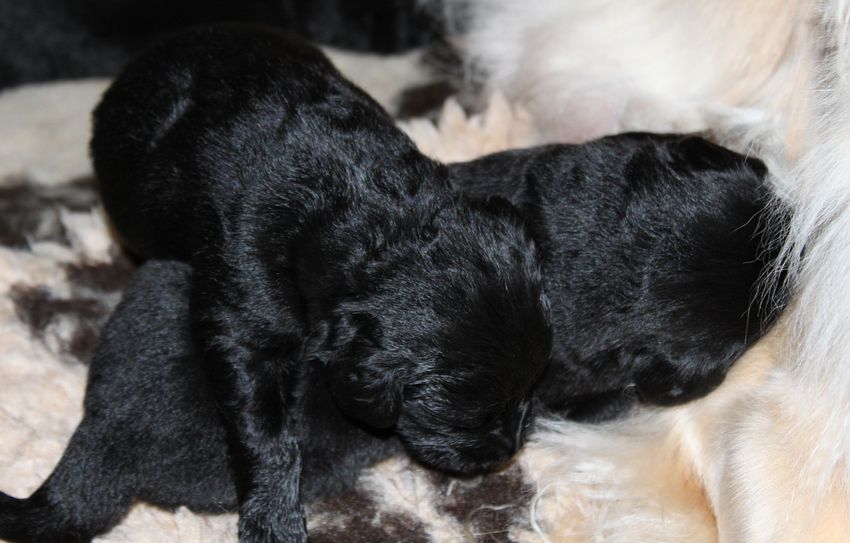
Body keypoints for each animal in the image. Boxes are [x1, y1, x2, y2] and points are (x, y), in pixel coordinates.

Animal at [89, 24, 552, 542]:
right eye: (472, 418)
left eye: (535, 385)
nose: (509, 448)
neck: (362, 207)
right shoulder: (244, 315)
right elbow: (266, 433)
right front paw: (273, 520)